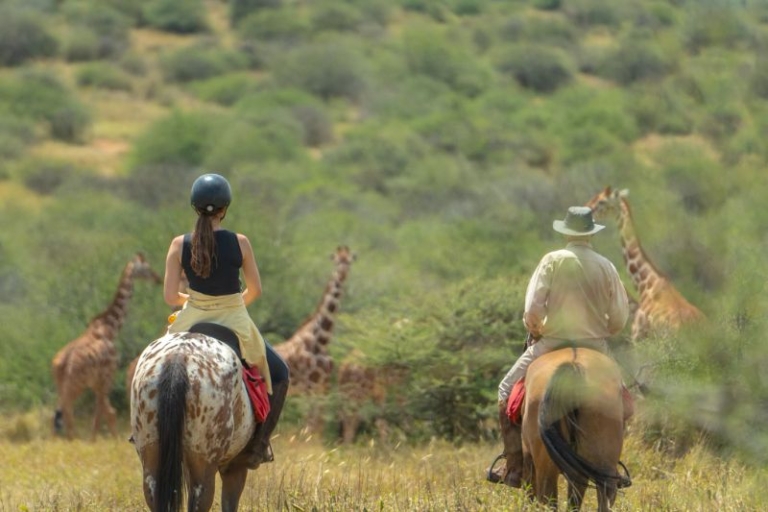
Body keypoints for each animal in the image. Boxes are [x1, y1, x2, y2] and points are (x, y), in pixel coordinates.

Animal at [51, 252, 161, 439]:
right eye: (146, 268)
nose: (158, 279)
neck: (110, 327)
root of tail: (61, 364)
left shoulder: (98, 382)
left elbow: (102, 411)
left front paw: (94, 441)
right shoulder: (107, 376)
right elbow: (107, 412)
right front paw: (111, 441)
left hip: (64, 385)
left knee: (61, 412)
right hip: (76, 385)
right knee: (67, 411)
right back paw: (72, 440)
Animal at [274, 245, 355, 434]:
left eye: (349, 261)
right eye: (337, 261)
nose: (342, 275)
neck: (321, 341)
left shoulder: (323, 385)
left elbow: (319, 424)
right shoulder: (309, 386)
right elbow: (310, 424)